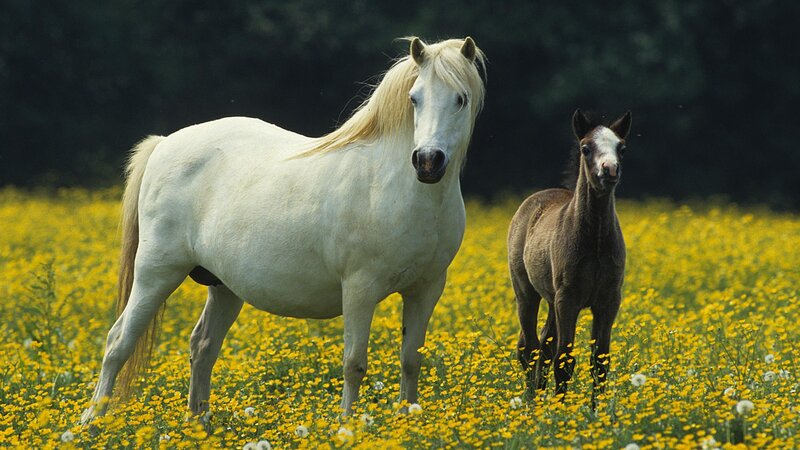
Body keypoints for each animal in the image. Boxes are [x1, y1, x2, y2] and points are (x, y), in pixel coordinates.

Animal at [80, 36, 486, 425]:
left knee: (203, 346)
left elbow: (411, 361)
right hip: (156, 273)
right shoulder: (360, 289)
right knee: (118, 342)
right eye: (414, 98)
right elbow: (354, 365)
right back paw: (91, 421)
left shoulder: (426, 290)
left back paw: (198, 423)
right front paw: (346, 427)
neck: (396, 188)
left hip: (224, 287)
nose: (428, 162)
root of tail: (165, 143)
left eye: (461, 99)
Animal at [507, 109, 631, 408]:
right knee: (528, 348)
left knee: (543, 345)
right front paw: (562, 411)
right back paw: (531, 402)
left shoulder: (608, 300)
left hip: (552, 300)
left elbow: (600, 362)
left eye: (621, 148)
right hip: (526, 293)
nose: (610, 170)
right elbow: (565, 359)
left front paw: (596, 411)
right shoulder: (569, 299)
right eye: (586, 148)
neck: (594, 241)